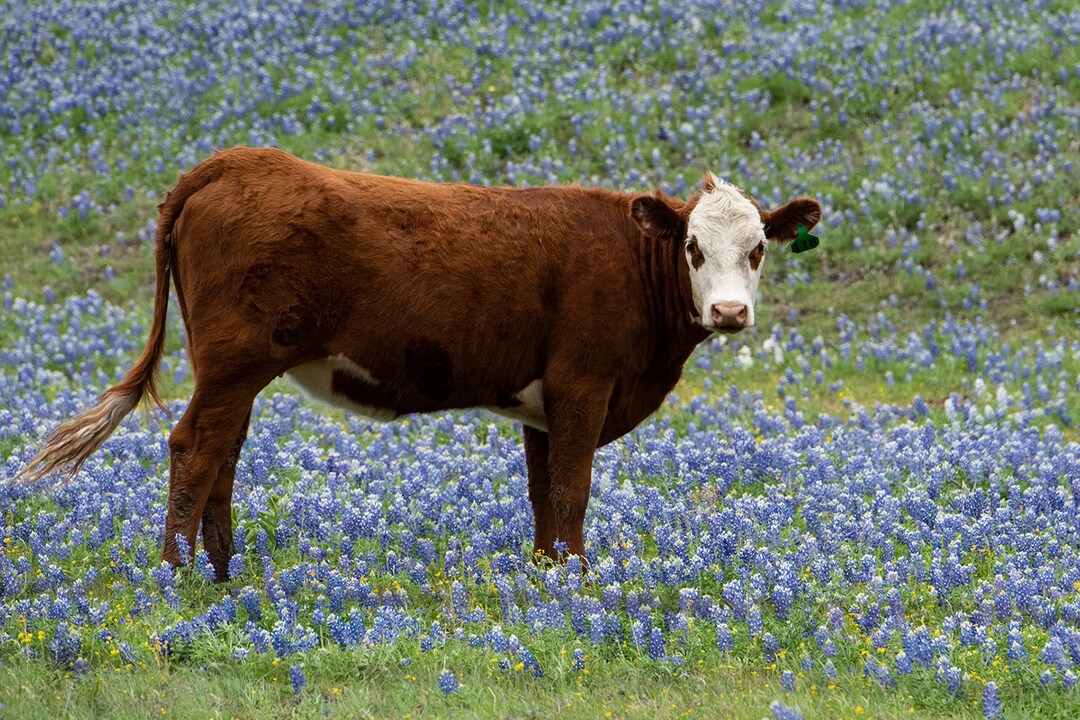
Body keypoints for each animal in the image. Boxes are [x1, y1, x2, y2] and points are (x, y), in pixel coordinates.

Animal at [16, 147, 821, 579]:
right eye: (692, 245)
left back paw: (224, 573)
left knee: (223, 454)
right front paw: (579, 582)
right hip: (233, 362)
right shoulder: (583, 384)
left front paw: (547, 575)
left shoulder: (542, 401)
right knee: (193, 448)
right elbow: (573, 490)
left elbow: (544, 493)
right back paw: (179, 577)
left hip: (235, 373)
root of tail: (234, 162)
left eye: (759, 247)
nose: (730, 313)